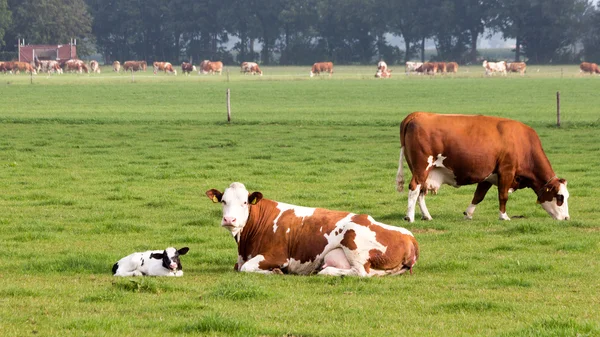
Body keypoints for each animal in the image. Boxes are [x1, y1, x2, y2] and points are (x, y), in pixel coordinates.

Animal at [206, 181, 418, 276]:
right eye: (223, 201)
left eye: (244, 202)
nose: (229, 219)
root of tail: (410, 237)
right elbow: (238, 266)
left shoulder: (277, 256)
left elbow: (246, 268)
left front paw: (275, 271)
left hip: (353, 241)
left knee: (360, 273)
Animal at [396, 111, 568, 222]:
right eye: (560, 197)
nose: (567, 218)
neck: (523, 142)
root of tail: (418, 114)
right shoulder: (506, 171)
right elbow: (503, 195)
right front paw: (504, 216)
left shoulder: (488, 176)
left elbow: (478, 196)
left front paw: (468, 213)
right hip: (421, 168)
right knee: (414, 188)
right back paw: (410, 217)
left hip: (424, 171)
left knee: (420, 192)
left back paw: (426, 216)